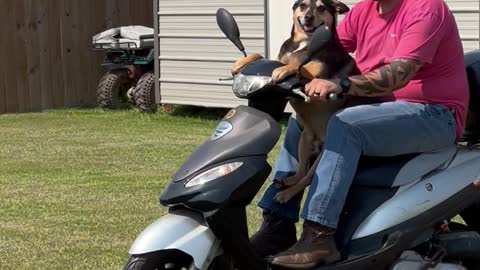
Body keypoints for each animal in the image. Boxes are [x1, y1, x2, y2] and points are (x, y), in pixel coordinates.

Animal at [231, 0, 358, 204]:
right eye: (303, 5)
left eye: (322, 7)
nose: (308, 17)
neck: (304, 42)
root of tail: (318, 145)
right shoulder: (276, 59)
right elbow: (261, 56)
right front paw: (240, 63)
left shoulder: (316, 76)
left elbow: (300, 66)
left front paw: (284, 70)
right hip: (304, 140)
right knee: (300, 172)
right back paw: (286, 182)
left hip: (323, 156)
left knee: (308, 179)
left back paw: (286, 194)